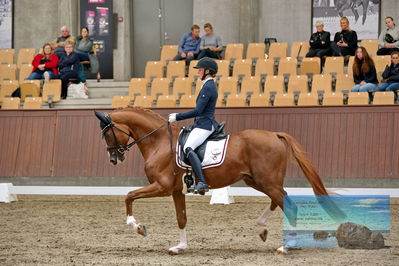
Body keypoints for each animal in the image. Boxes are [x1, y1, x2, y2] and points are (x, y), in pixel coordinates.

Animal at [95, 107, 342, 255]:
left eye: (107, 134)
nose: (114, 159)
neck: (159, 141)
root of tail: (274, 134)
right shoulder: (176, 191)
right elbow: (181, 218)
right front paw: (180, 247)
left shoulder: (162, 187)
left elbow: (129, 196)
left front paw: (137, 227)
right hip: (258, 181)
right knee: (280, 199)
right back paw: (262, 228)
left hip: (267, 181)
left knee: (287, 204)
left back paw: (285, 246)